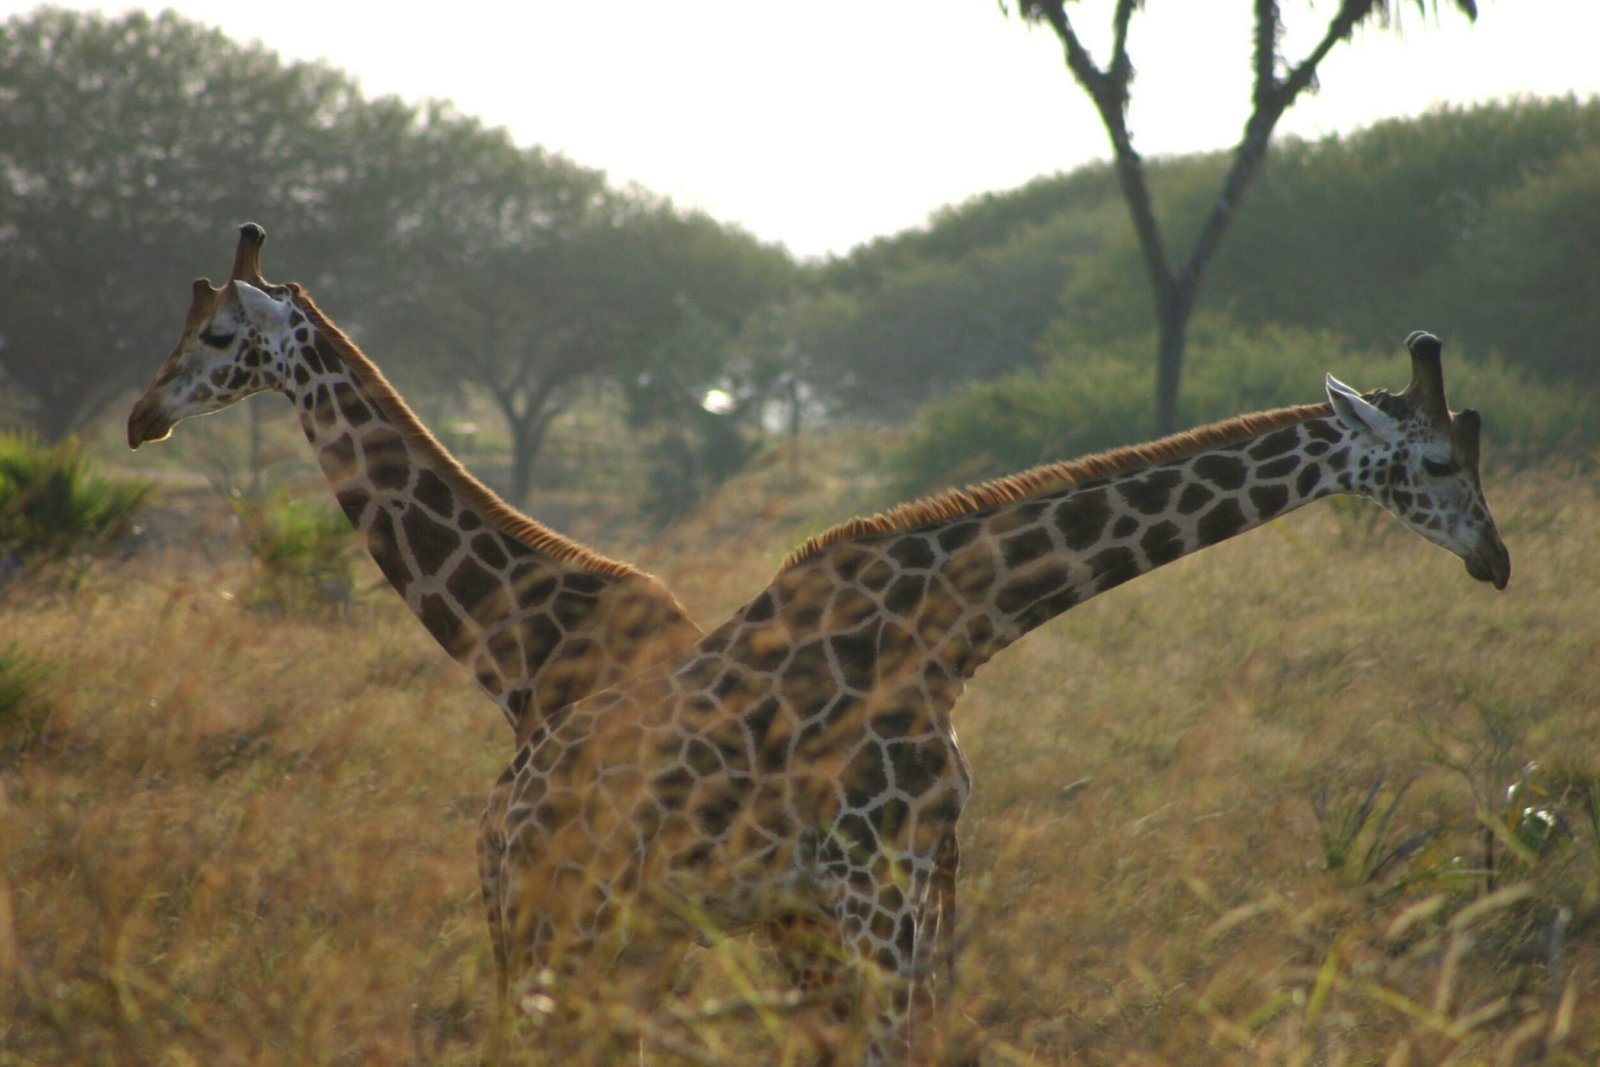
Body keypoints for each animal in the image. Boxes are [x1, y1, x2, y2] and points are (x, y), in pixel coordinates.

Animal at [476, 330, 1509, 1063]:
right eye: (1440, 463)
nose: (1496, 559)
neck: (952, 628)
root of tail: (500, 817)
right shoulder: (872, 872)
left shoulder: (916, 866)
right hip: (571, 920)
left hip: (605, 931)